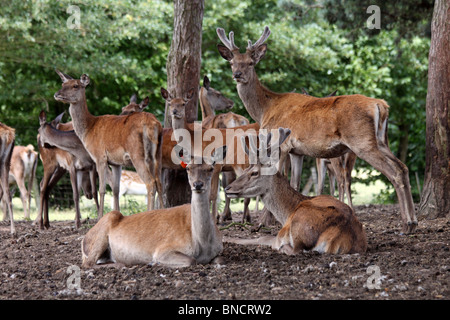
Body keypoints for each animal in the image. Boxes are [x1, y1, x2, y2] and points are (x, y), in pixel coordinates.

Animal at [53, 69, 164, 218]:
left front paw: (100, 217)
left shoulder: (100, 157)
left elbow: (101, 189)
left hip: (138, 154)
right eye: (63, 83)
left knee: (150, 182)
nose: (57, 94)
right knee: (159, 182)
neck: (89, 129)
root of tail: (154, 124)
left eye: (75, 85)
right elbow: (116, 189)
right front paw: (116, 214)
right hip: (157, 155)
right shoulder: (117, 163)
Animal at [81, 145, 227, 268]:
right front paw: (154, 262)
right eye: (188, 168)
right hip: (102, 231)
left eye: (210, 168)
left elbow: (221, 259)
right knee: (88, 263)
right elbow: (191, 260)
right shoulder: (163, 249)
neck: (202, 244)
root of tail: (84, 239)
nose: (198, 184)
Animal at [216, 26, 416, 234]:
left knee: (393, 172)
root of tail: (381, 105)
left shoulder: (281, 144)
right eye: (232, 62)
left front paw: (263, 222)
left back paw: (406, 224)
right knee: (403, 167)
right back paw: (413, 222)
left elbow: (276, 175)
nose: (237, 74)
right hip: (382, 140)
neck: (266, 109)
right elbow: (294, 182)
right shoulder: (297, 151)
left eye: (250, 62)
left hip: (362, 142)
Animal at [223, 127, 368, 255]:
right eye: (245, 169)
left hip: (299, 224)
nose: (227, 188)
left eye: (254, 173)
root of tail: (338, 237)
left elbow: (262, 237)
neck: (287, 212)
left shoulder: (282, 233)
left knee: (295, 249)